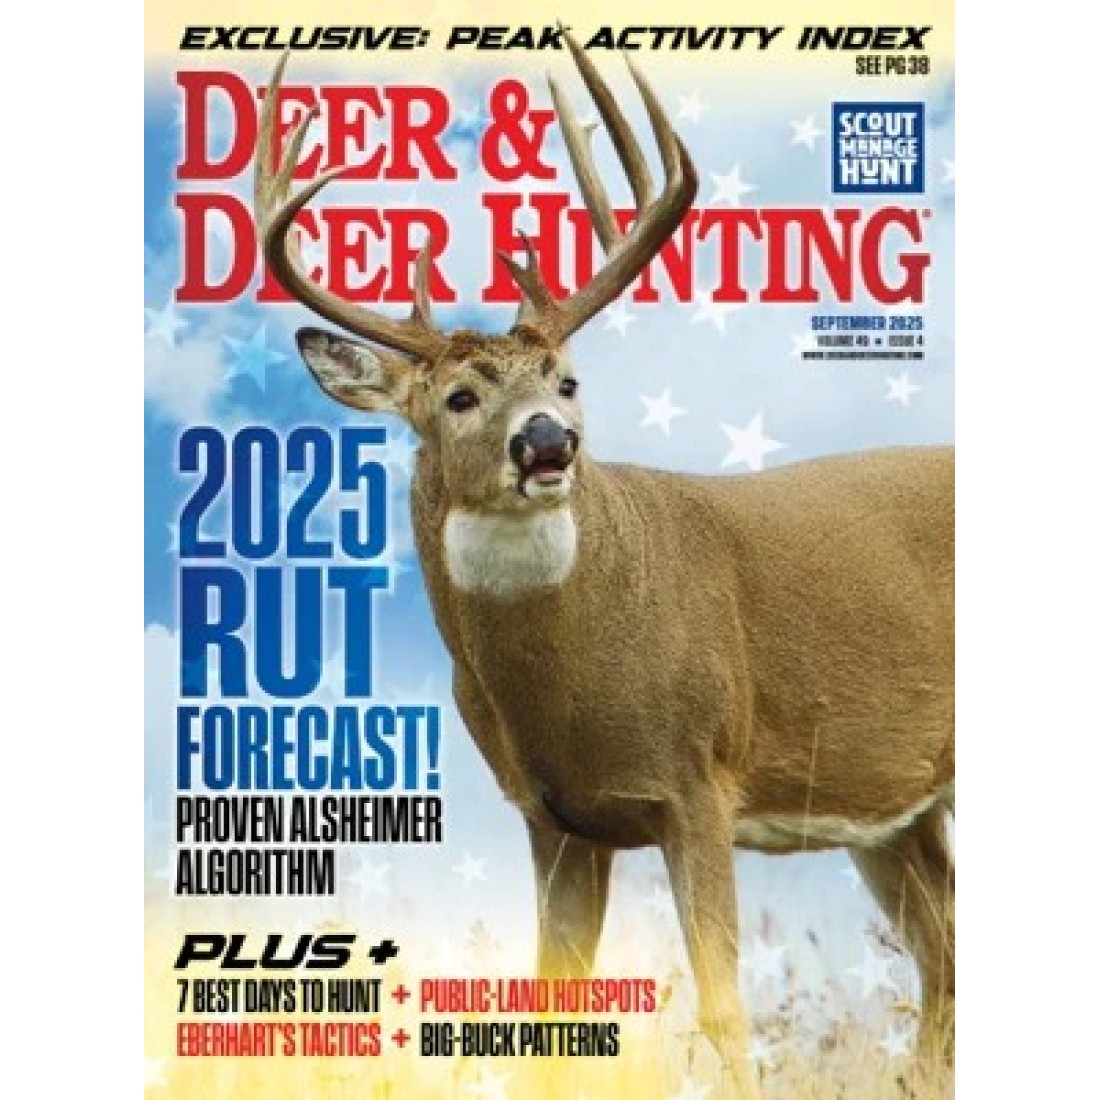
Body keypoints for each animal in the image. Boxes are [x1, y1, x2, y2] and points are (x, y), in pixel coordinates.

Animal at [254, 35, 954, 1097]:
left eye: (568, 380)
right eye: (459, 398)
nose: (548, 441)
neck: (573, 687)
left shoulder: (700, 776)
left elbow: (723, 1008)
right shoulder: (552, 818)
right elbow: (550, 1009)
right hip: (892, 808)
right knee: (942, 957)